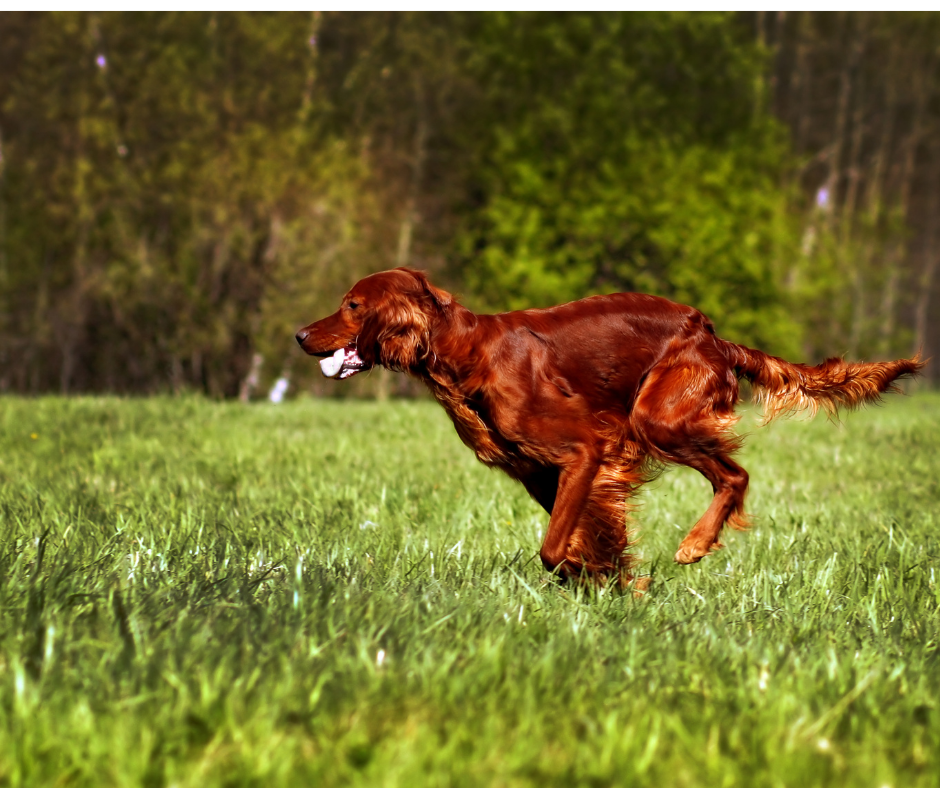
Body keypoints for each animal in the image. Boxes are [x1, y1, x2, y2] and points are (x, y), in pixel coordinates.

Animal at [296, 270, 924, 584]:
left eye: (352, 305)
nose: (300, 335)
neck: (467, 352)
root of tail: (713, 335)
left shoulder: (584, 450)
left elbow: (553, 548)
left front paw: (591, 574)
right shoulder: (542, 474)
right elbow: (595, 531)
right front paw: (612, 576)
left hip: (657, 415)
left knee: (735, 475)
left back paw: (695, 544)